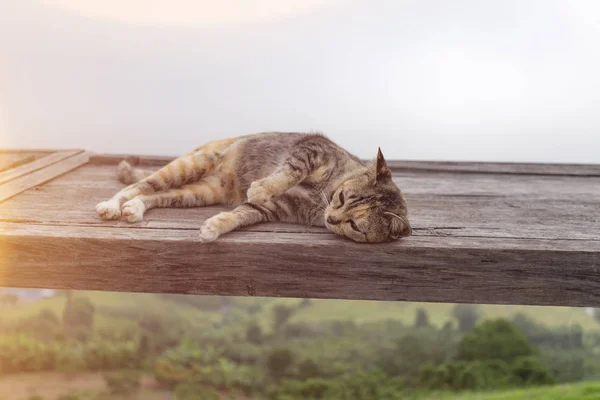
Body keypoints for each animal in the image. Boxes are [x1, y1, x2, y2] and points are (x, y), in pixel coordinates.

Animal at [95, 133, 412, 242]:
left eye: (356, 226)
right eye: (343, 196)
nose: (332, 219)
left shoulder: (273, 208)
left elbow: (239, 215)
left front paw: (213, 228)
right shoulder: (311, 149)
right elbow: (290, 172)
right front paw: (261, 186)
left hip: (196, 193)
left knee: (154, 196)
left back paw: (134, 209)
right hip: (188, 166)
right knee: (138, 185)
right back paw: (111, 206)